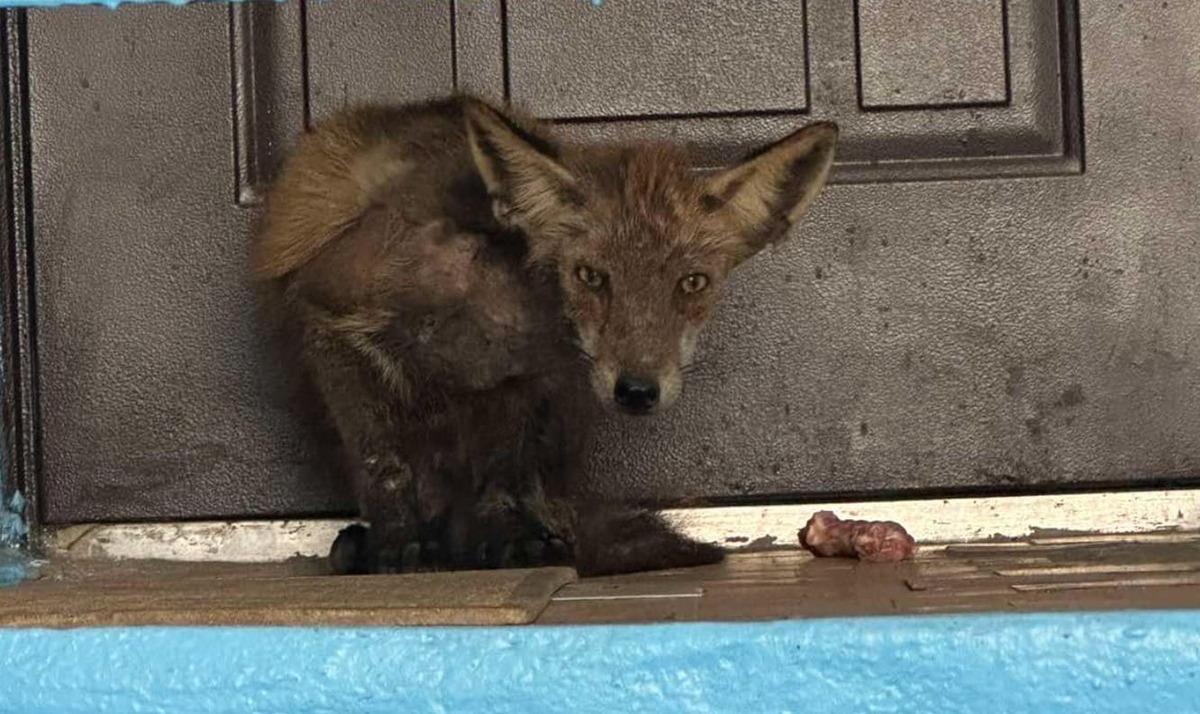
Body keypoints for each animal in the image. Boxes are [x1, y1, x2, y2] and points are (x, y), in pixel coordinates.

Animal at [250, 95, 837, 577]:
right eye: (591, 276)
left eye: (693, 283)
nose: (637, 390)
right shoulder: (330, 327)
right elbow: (383, 465)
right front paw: (396, 544)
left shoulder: (524, 383)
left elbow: (501, 479)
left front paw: (509, 541)